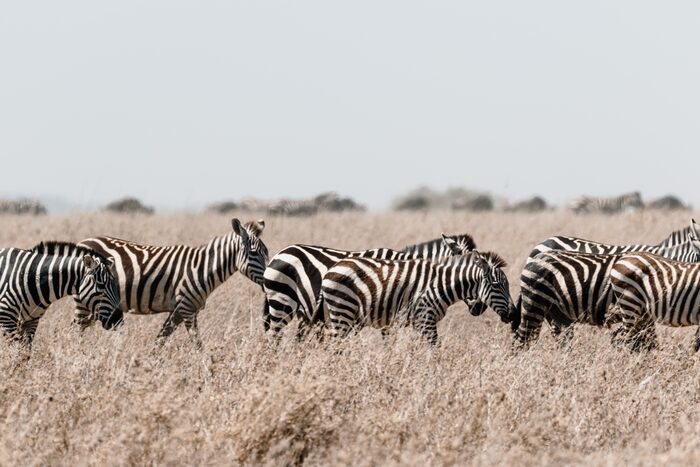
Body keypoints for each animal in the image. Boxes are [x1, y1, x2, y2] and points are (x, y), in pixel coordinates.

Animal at [73, 218, 267, 345]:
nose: (268, 281)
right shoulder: (186, 307)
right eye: (254, 253)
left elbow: (161, 339)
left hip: (95, 306)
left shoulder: (181, 309)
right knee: (76, 329)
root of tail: (83, 241)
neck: (202, 269)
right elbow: (197, 343)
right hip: (85, 301)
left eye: (266, 252)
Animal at [262, 233, 483, 338]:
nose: (479, 308)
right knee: (275, 335)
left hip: (303, 311)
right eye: (469, 274)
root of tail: (281, 252)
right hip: (282, 302)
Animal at [320, 252, 514, 344]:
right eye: (496, 285)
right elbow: (434, 348)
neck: (440, 284)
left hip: (352, 318)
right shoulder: (425, 317)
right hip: (343, 311)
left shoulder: (420, 321)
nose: (513, 314)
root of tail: (333, 268)